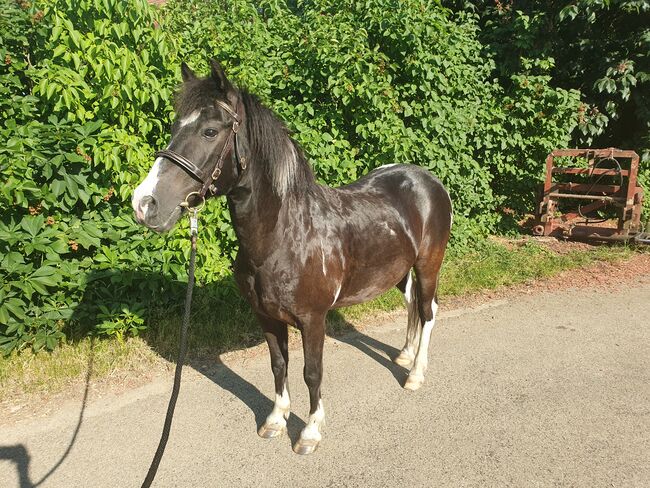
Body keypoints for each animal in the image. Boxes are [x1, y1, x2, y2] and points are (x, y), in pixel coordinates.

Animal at [132, 60, 450, 454]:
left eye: (209, 131)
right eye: (175, 127)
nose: (145, 203)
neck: (283, 238)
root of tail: (427, 180)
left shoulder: (313, 321)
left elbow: (311, 372)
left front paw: (310, 431)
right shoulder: (266, 316)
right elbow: (278, 365)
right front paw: (275, 419)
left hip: (428, 265)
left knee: (427, 311)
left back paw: (415, 374)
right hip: (400, 271)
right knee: (411, 307)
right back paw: (404, 354)